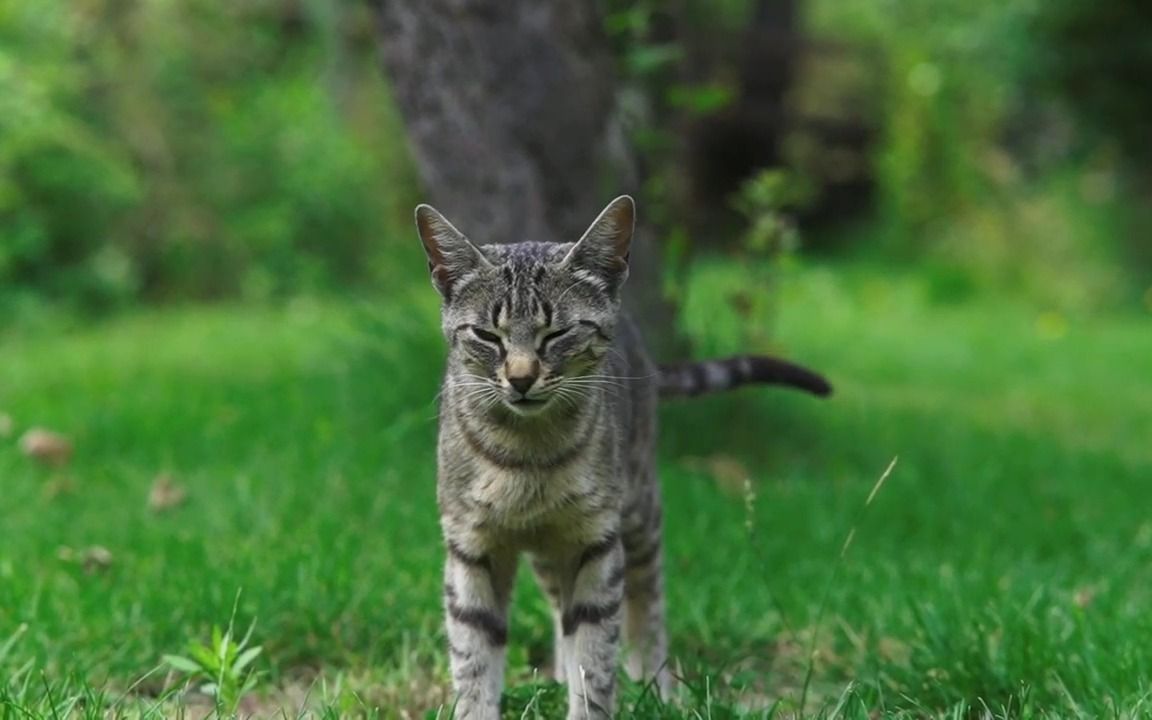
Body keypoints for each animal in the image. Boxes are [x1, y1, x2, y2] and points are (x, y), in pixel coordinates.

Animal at [419, 193, 834, 714]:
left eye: (557, 334)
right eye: (487, 336)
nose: (521, 377)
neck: (528, 454)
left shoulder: (596, 541)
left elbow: (595, 655)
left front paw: (593, 701)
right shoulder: (472, 546)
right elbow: (473, 658)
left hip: (638, 512)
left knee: (647, 599)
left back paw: (657, 685)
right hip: (551, 550)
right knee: (560, 608)